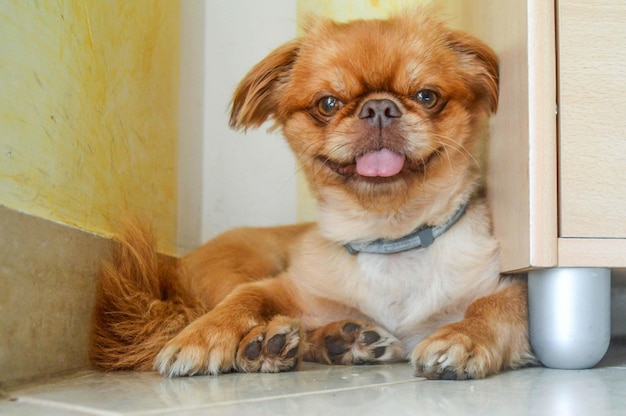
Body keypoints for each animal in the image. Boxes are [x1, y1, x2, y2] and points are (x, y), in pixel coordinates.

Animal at [90, 8, 532, 380]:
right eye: (328, 103)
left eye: (427, 96)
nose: (379, 108)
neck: (390, 241)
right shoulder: (288, 288)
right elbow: (246, 297)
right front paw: (203, 335)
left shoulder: (506, 287)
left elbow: (491, 306)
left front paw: (463, 336)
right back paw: (272, 344)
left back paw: (333, 341)